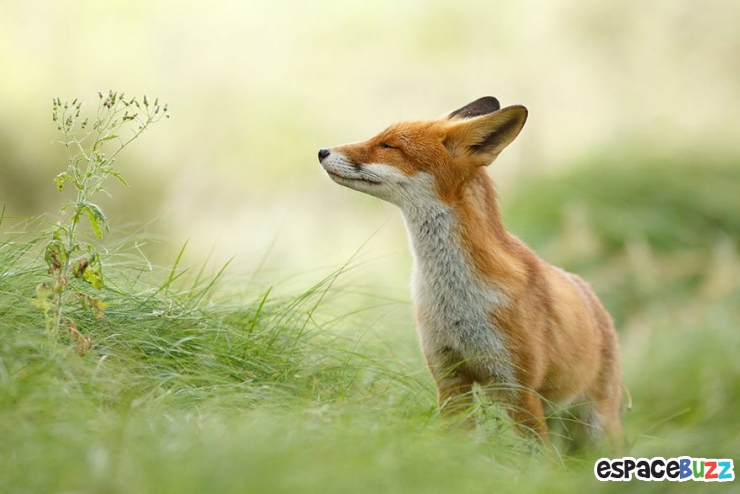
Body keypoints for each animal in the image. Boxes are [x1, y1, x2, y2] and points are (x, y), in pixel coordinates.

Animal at [318, 96, 623, 451]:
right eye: (379, 138)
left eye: (388, 145)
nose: (322, 151)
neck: (456, 298)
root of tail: (595, 298)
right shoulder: (449, 377)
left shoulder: (519, 389)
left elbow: (536, 457)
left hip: (597, 425)